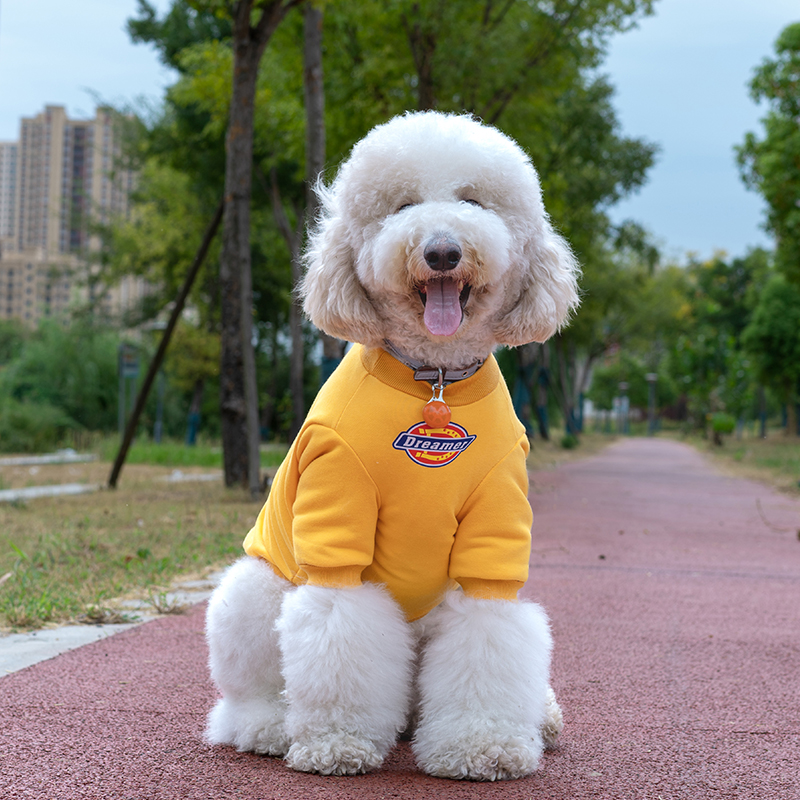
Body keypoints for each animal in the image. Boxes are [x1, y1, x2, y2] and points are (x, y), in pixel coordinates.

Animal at [205, 111, 580, 780]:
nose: (442, 251)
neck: (432, 382)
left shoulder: (494, 536)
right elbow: (340, 633)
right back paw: (270, 727)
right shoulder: (337, 521)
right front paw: (336, 742)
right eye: (400, 206)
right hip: (251, 590)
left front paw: (481, 745)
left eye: (473, 201)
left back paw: (540, 715)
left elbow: (489, 639)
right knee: (245, 697)